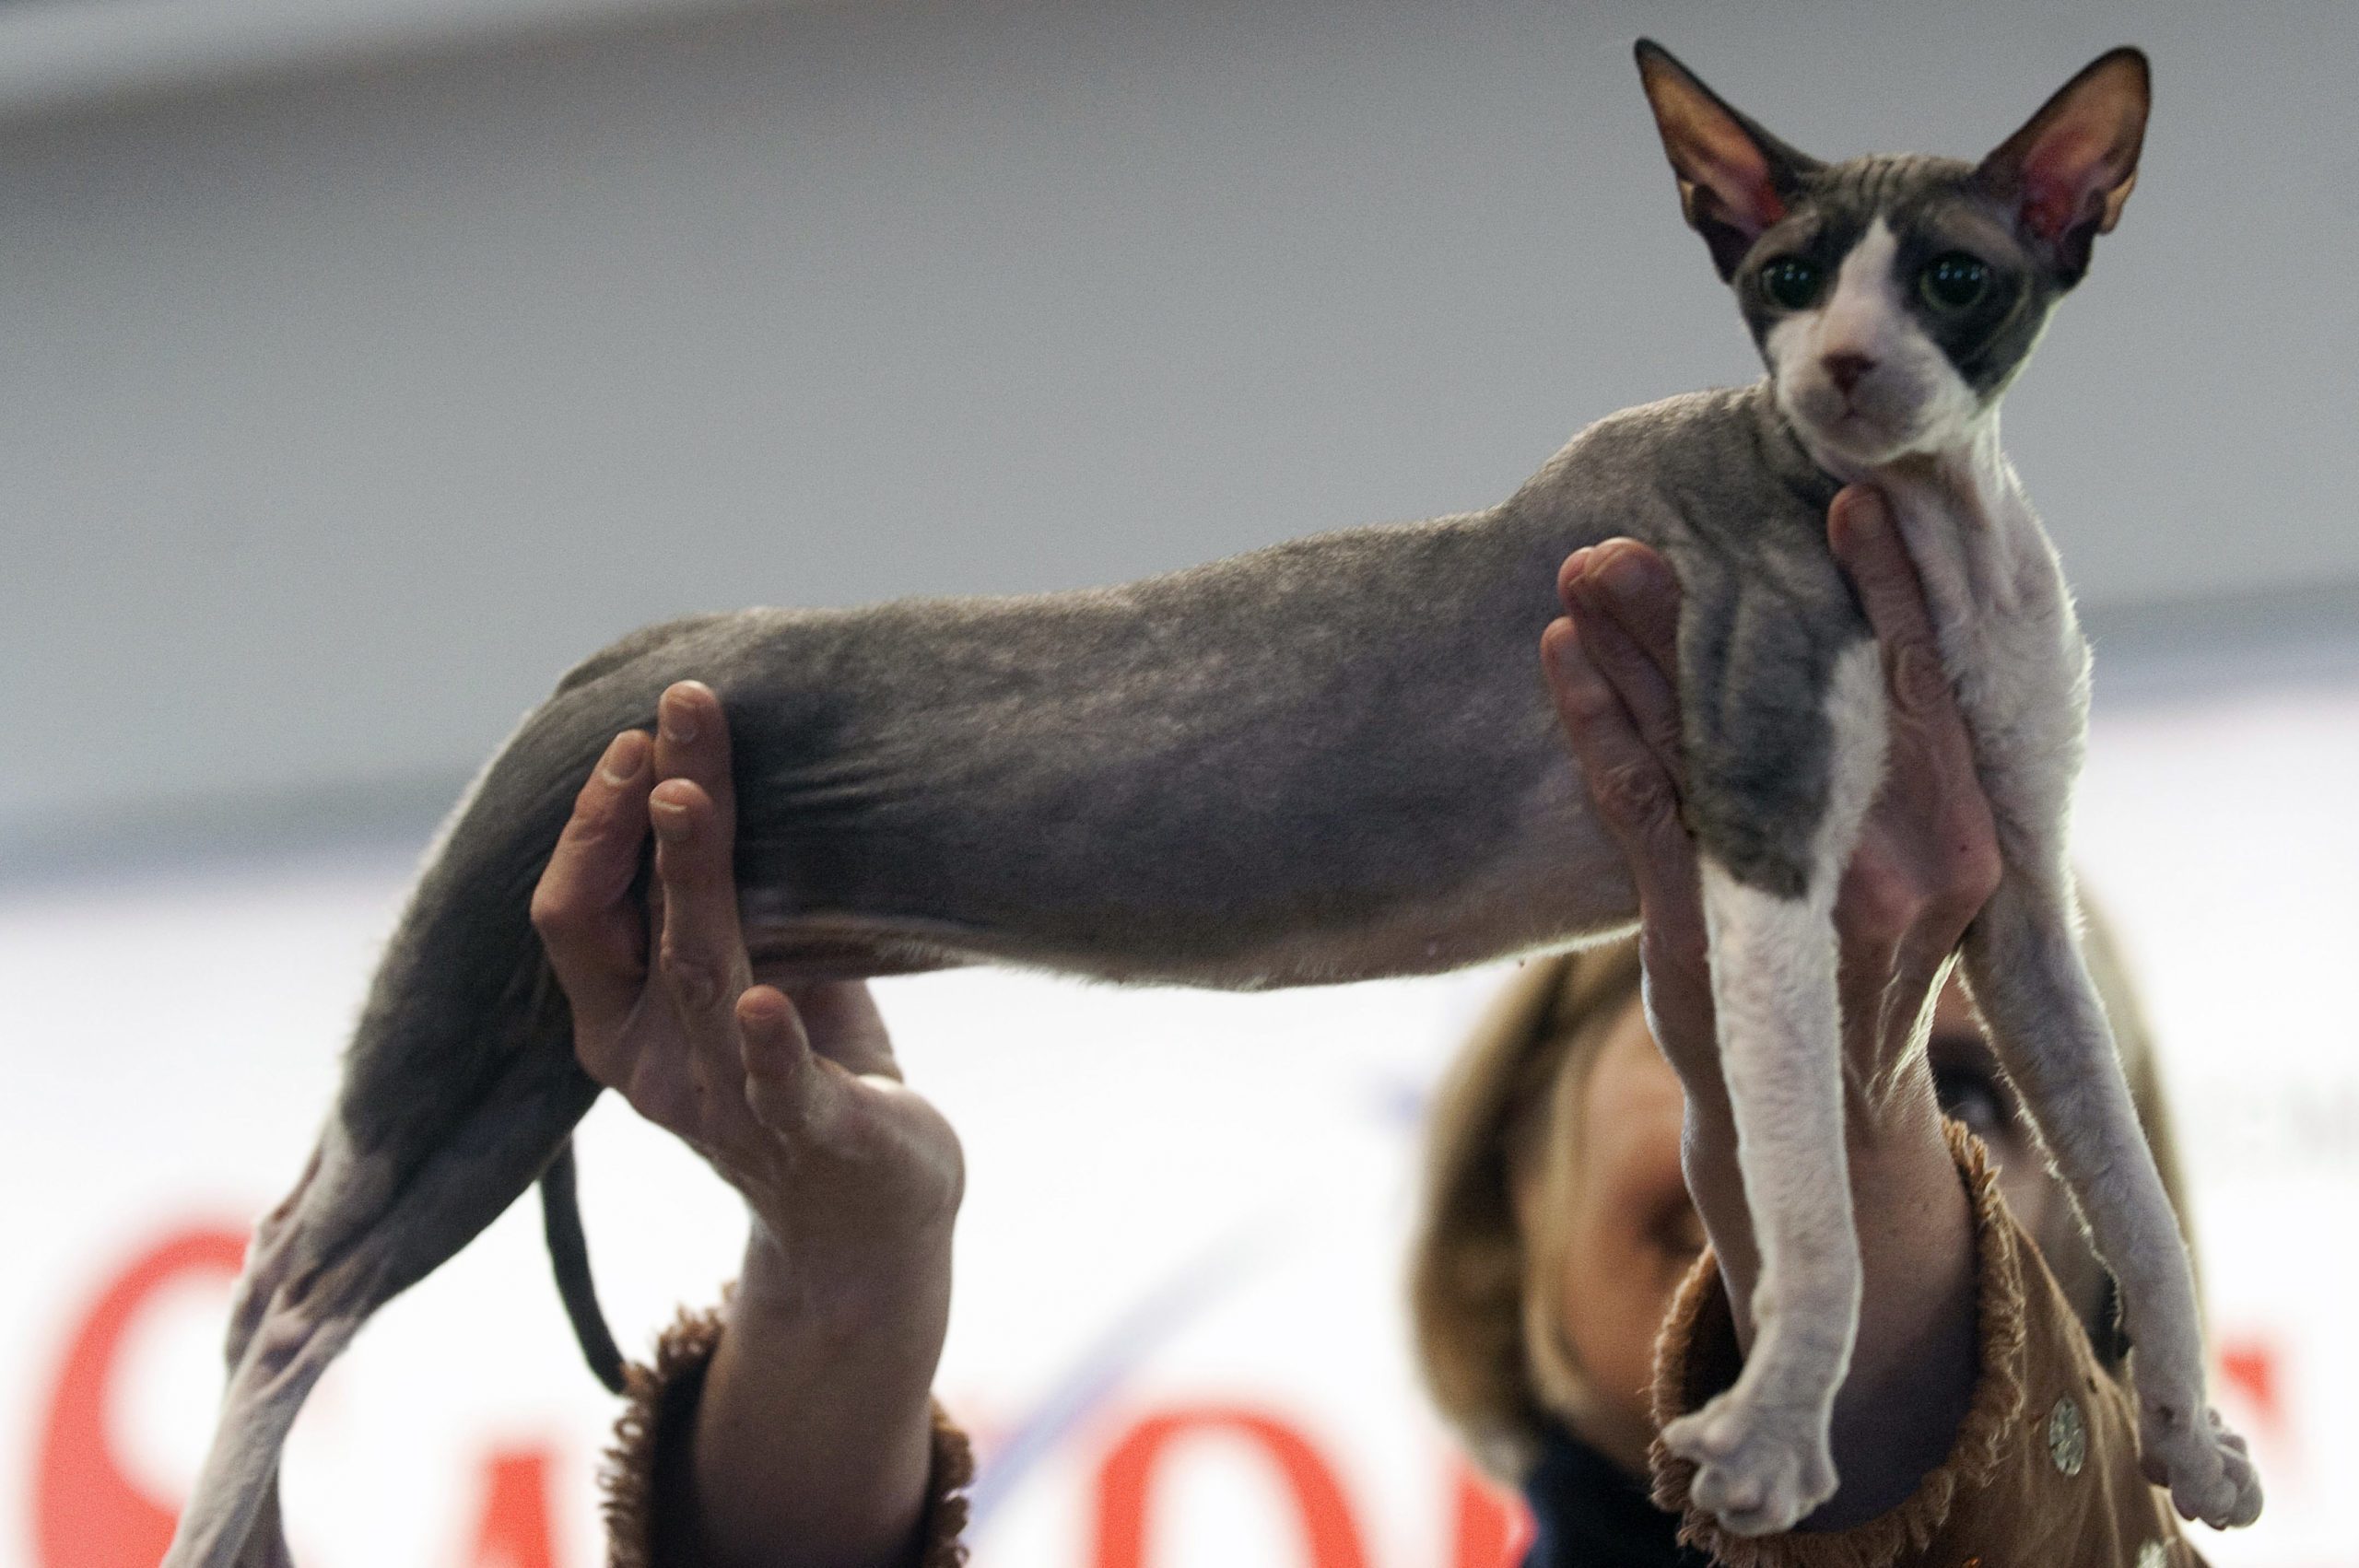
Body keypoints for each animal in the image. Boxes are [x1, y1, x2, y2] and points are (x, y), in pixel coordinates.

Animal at [170, 40, 2264, 1565]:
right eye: (1781, 276)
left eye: (1956, 277)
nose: (1837, 370)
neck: (1922, 538)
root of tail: (634, 646)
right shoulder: (1759, 828)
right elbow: (1817, 1187)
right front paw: (1769, 1440)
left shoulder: (2013, 888)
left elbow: (2133, 1193)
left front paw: (2192, 1439)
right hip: (482, 999)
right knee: (277, 1285)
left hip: (540, 1030)